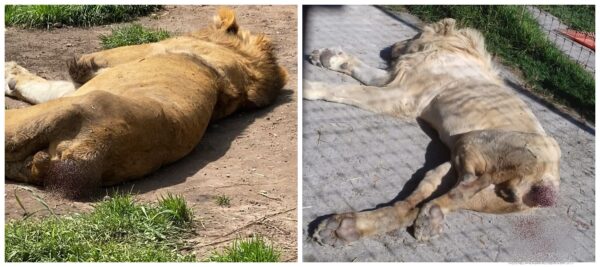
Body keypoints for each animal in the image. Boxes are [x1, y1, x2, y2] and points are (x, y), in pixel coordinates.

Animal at [5, 7, 288, 199]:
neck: (242, 64)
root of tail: (93, 153)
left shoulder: (128, 52)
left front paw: (9, 71)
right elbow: (44, 86)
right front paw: (12, 76)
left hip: (32, 119)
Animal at [304, 17, 564, 246]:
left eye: (415, 34)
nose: (392, 47)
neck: (454, 47)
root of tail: (548, 189)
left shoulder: (401, 94)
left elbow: (346, 90)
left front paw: (310, 86)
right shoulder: (396, 81)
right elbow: (361, 70)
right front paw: (327, 57)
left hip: (484, 140)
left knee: (472, 184)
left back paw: (431, 216)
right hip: (452, 169)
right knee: (411, 207)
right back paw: (345, 229)